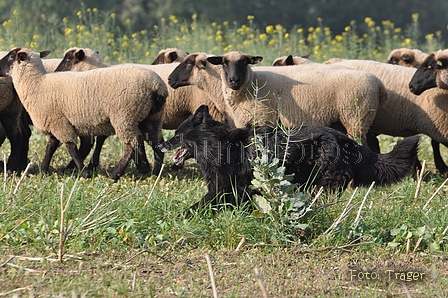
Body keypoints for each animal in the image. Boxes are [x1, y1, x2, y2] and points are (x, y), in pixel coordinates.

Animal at [0, 47, 168, 180]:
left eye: (10, 57)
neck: (37, 83)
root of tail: (157, 87)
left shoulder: (58, 122)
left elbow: (70, 146)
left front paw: (83, 171)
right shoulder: (59, 121)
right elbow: (51, 146)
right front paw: (44, 169)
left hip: (124, 117)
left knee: (131, 144)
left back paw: (116, 174)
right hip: (151, 118)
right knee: (157, 142)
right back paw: (155, 173)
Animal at [158, 105, 420, 214]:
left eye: (177, 135)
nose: (160, 145)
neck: (219, 144)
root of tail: (347, 141)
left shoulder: (221, 190)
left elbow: (195, 207)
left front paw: (177, 218)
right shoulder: (236, 192)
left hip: (320, 182)